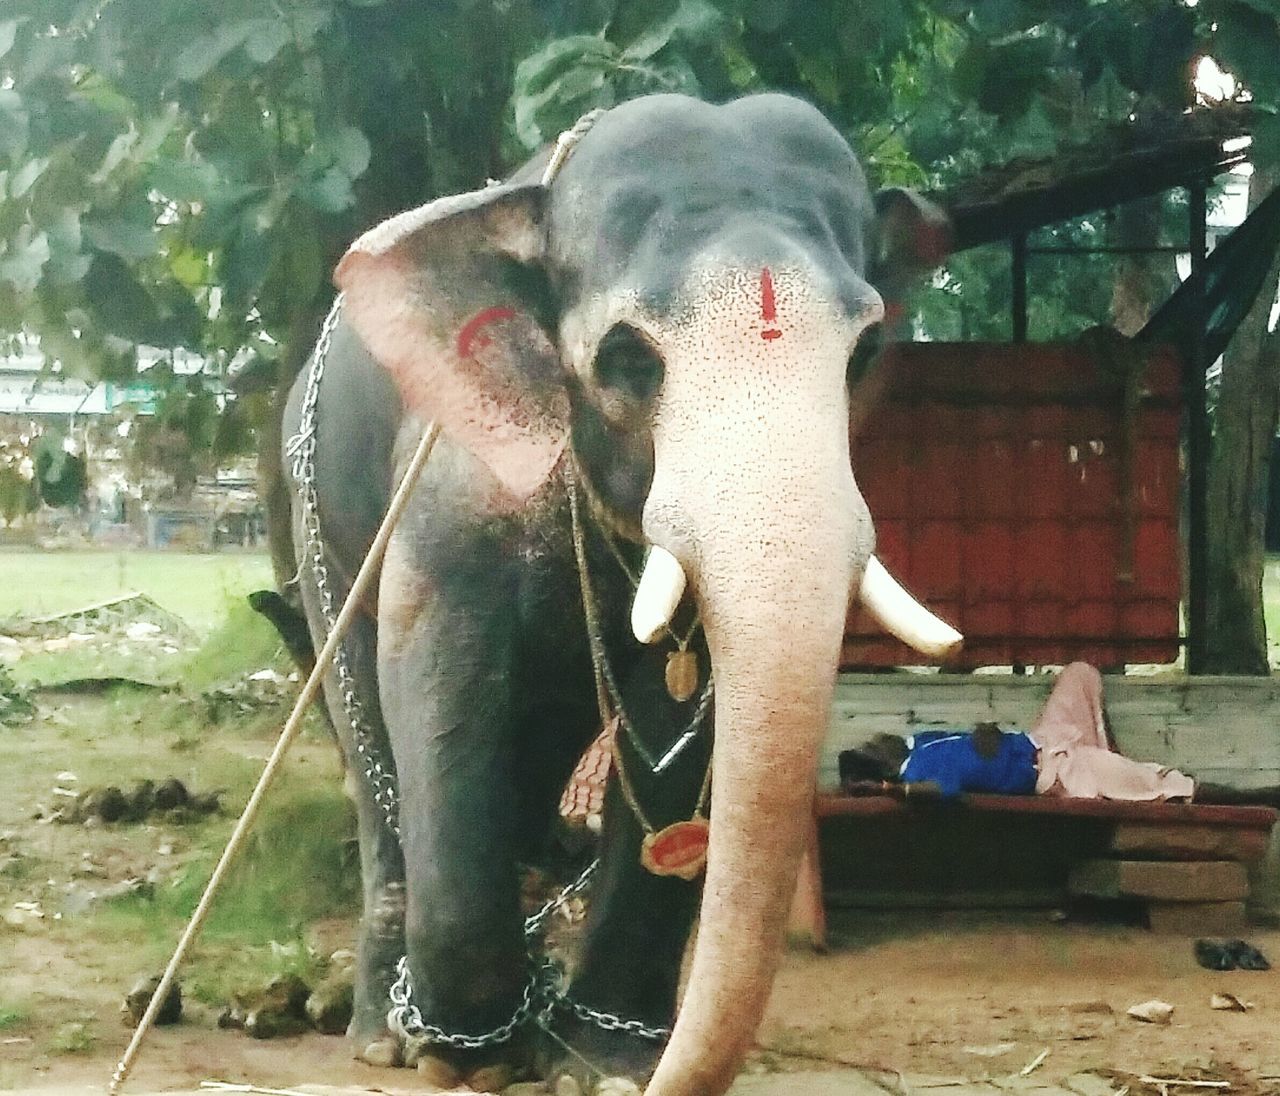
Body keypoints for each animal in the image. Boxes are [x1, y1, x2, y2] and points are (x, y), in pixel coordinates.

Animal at [282, 92, 962, 1096]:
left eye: (865, 351)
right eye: (628, 359)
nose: (663, 1069)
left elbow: (678, 713)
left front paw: (601, 1066)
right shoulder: (452, 479)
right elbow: (442, 667)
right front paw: (464, 1059)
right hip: (313, 519)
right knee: (363, 711)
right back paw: (383, 1034)